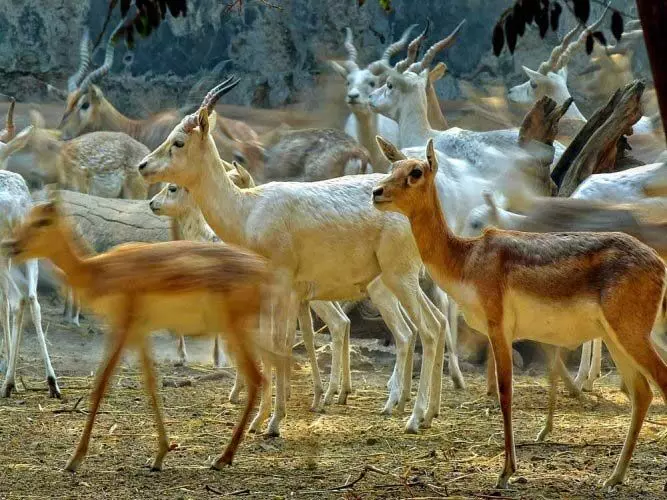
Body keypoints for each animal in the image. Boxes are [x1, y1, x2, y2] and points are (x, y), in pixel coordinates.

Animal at [1, 196, 274, 472]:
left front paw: (74, 459)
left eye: (43, 221)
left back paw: (223, 457)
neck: (99, 271)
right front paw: (160, 454)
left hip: (235, 331)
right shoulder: (140, 333)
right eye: (25, 218)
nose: (11, 246)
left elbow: (100, 384)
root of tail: (263, 270)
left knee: (257, 378)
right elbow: (151, 385)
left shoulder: (122, 327)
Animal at [138, 80, 468, 436]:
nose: (143, 166)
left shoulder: (283, 285)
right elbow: (274, 343)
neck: (248, 211)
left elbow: (278, 343)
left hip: (398, 278)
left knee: (427, 329)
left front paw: (273, 421)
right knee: (436, 320)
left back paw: (413, 417)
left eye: (179, 141)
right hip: (404, 280)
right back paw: (427, 411)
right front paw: (261, 420)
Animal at [370, 139, 667, 490]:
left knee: (659, 382)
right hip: (615, 337)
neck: (466, 259)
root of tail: (659, 263)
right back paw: (613, 477)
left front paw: (506, 472)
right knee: (642, 393)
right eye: (393, 167)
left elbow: (504, 392)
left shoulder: (499, 328)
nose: (376, 192)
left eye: (415, 172)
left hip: (631, 333)